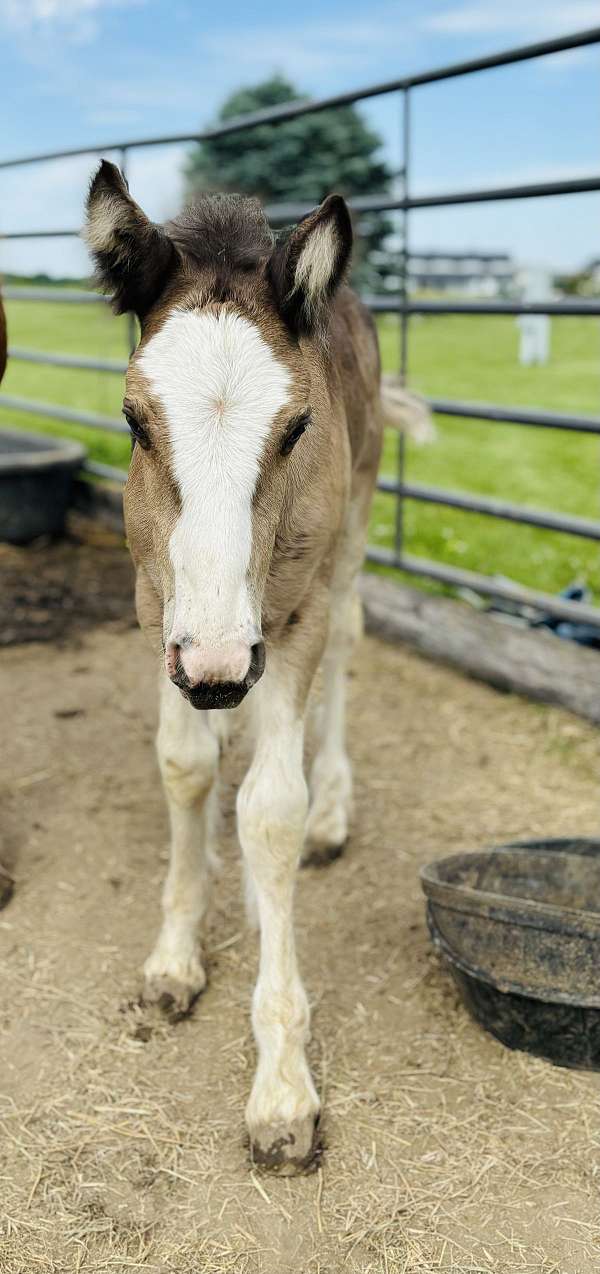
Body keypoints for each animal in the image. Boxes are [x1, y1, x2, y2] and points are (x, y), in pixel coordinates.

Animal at [84, 161, 405, 1172]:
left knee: (347, 644)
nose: (219, 666)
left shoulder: (288, 620)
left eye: (297, 425)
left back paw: (331, 812)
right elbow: (186, 765)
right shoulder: (159, 609)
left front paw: (282, 1087)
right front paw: (175, 958)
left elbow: (271, 810)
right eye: (133, 421)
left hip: (349, 540)